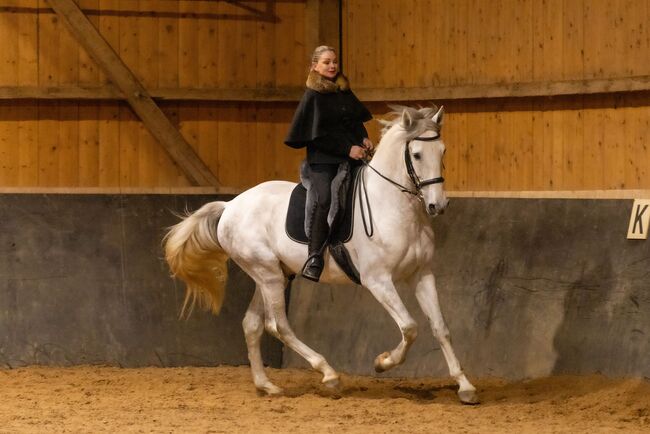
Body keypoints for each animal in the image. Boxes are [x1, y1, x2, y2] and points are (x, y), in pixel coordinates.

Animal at [162, 104, 476, 404]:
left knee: (252, 324)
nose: (438, 205)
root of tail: (231, 206)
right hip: (267, 274)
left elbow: (440, 327)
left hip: (273, 275)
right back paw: (329, 375)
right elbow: (410, 327)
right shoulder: (378, 280)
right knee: (278, 325)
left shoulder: (421, 274)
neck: (394, 206)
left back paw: (267, 385)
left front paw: (465, 387)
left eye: (443, 150)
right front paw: (383, 362)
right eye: (417, 154)